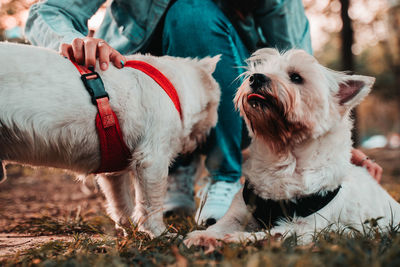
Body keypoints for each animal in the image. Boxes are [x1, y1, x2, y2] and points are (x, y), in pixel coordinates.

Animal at [0, 42, 222, 239]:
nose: (205, 138)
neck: (174, 86)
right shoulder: (152, 159)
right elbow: (150, 206)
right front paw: (160, 235)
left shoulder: (113, 169)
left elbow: (121, 205)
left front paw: (131, 232)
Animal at [185, 48, 400, 249]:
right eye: (258, 70)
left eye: (296, 77)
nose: (256, 77)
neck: (285, 157)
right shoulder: (241, 211)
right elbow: (222, 225)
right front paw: (203, 236)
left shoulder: (305, 228)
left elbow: (273, 234)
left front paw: (239, 238)